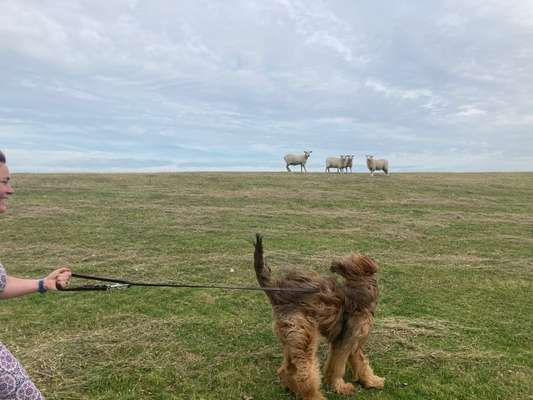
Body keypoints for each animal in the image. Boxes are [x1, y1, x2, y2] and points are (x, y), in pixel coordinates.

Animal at [252, 234, 382, 400]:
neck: (358, 291)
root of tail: (277, 293)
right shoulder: (344, 341)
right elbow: (338, 367)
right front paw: (340, 386)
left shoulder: (355, 342)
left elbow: (362, 363)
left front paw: (371, 381)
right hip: (305, 336)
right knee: (304, 373)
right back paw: (313, 395)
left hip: (291, 338)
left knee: (285, 369)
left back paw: (291, 388)